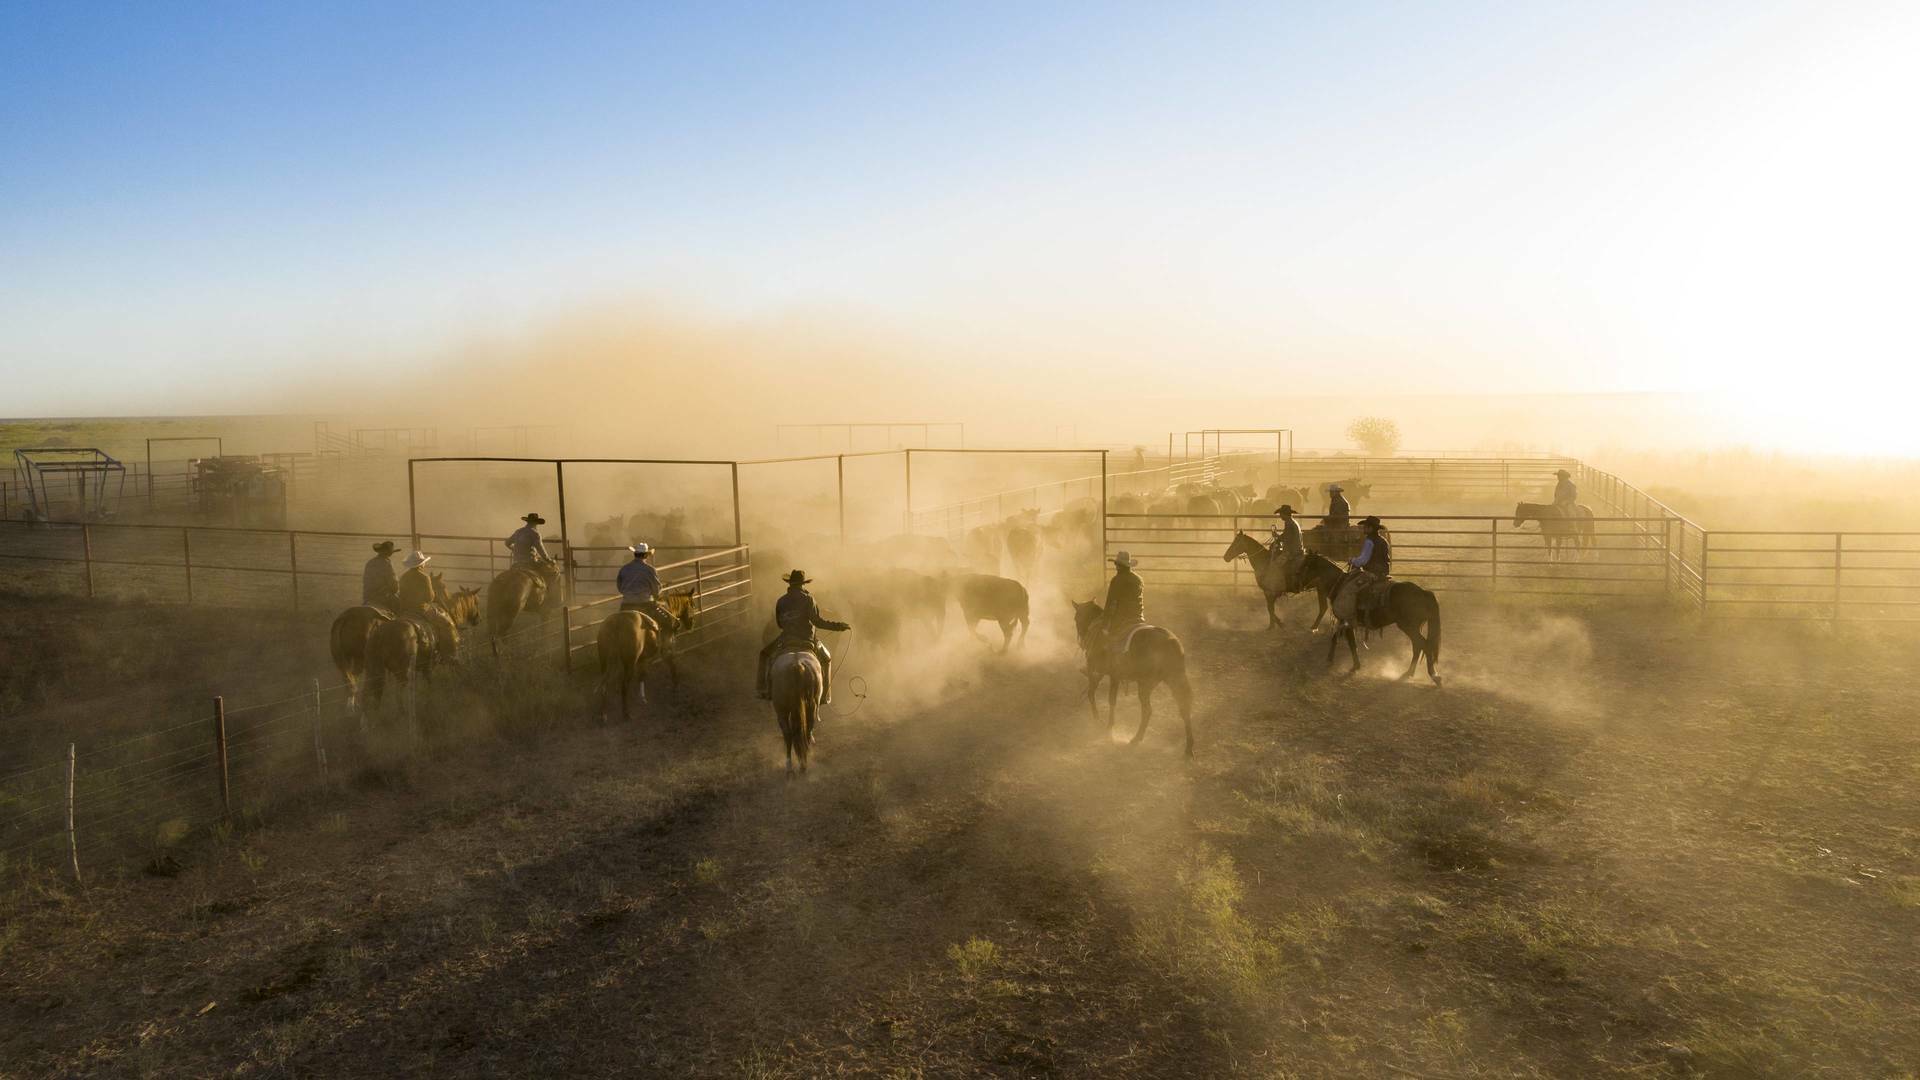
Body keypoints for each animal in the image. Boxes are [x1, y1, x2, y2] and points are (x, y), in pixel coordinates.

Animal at [768, 638, 821, 772]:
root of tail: (797, 665)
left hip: (782, 711)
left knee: (789, 735)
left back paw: (790, 765)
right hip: (810, 706)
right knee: (806, 728)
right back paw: (803, 761)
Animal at [1075, 595, 1190, 757]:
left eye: (1076, 618)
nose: (1081, 641)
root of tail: (1171, 641)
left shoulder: (1101, 673)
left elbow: (1101, 697)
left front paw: (1103, 725)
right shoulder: (1112, 676)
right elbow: (1105, 697)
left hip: (1146, 684)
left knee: (1148, 710)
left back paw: (1135, 739)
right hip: (1174, 679)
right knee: (1184, 707)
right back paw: (1189, 749)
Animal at [1290, 553, 1443, 680]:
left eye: (1304, 566)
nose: (1295, 586)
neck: (1339, 584)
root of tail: (1423, 592)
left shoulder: (1346, 620)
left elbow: (1350, 643)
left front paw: (1351, 665)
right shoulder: (1345, 621)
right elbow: (1339, 639)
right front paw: (1335, 660)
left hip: (1408, 626)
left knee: (1422, 645)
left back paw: (1432, 675)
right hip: (1414, 627)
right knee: (1418, 646)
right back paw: (1411, 672)